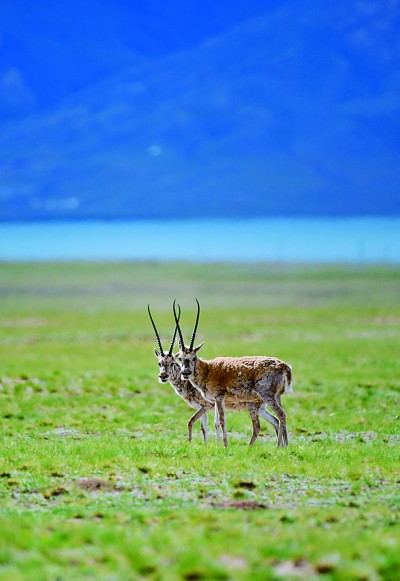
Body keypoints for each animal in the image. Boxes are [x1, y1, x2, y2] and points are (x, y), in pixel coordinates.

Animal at [148, 304, 280, 444]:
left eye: (172, 362)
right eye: (159, 363)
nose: (163, 376)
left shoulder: (206, 406)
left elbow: (194, 422)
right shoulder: (205, 408)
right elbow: (205, 427)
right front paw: (208, 445)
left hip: (253, 407)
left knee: (260, 425)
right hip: (261, 408)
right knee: (276, 421)